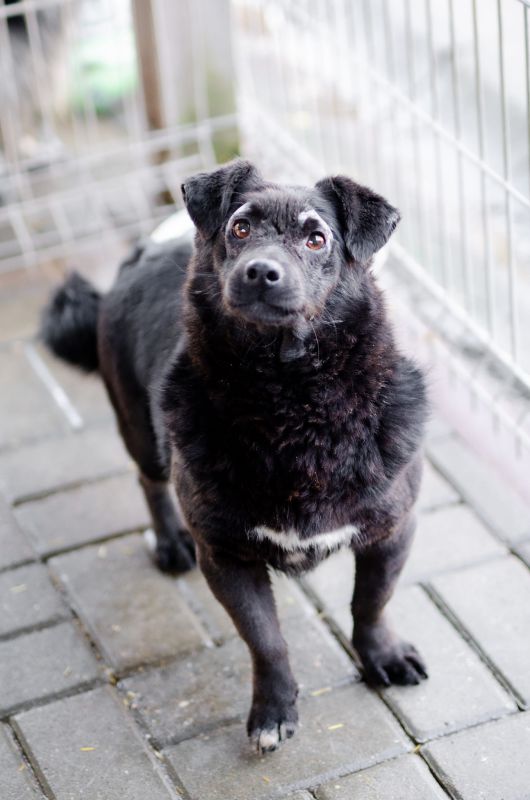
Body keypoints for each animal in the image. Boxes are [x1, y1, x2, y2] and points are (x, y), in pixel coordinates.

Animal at [42, 159, 428, 754]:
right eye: (240, 228)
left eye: (317, 239)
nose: (260, 271)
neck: (288, 399)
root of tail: (142, 250)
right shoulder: (225, 557)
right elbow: (265, 641)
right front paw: (273, 711)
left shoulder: (393, 532)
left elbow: (371, 604)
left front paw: (381, 656)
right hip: (139, 427)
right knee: (149, 480)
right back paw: (169, 541)